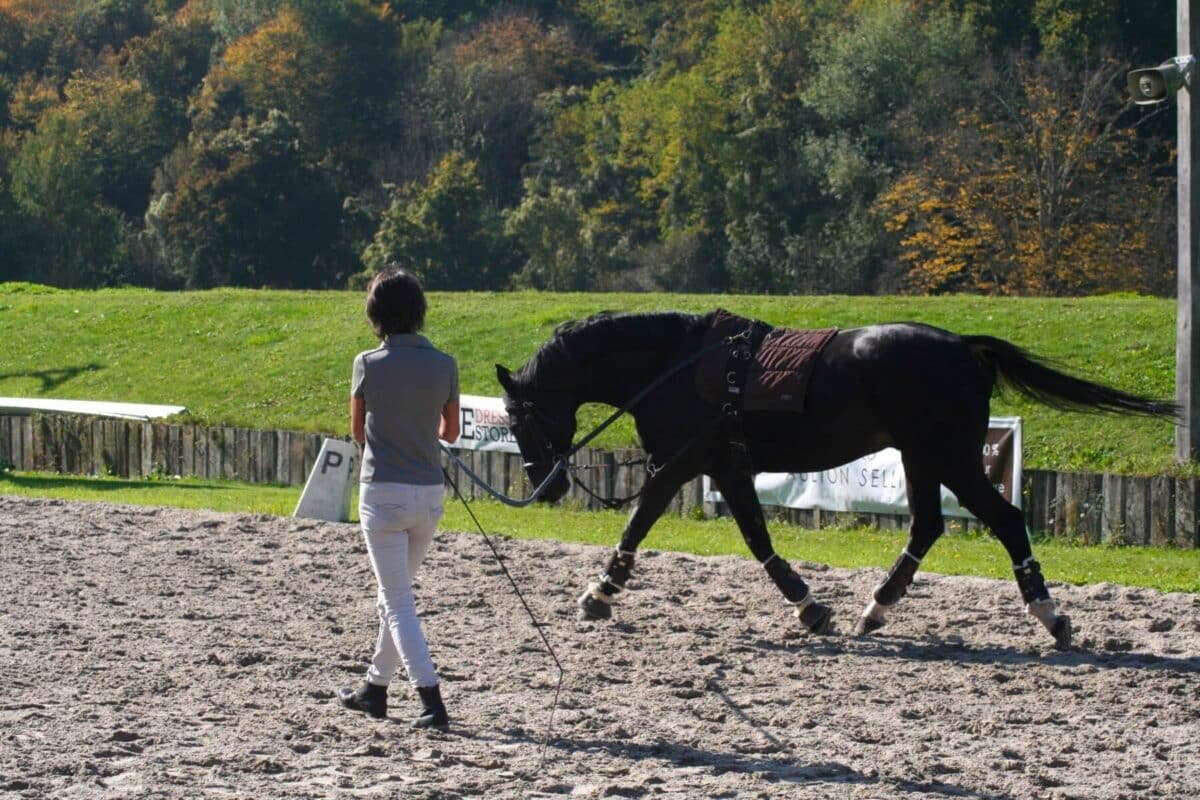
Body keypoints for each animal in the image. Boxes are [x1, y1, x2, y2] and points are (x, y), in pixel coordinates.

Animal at [492, 309, 1176, 647]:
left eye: (519, 417)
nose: (545, 484)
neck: (673, 363)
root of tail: (963, 346)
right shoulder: (726, 467)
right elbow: (759, 539)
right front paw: (811, 607)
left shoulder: (680, 465)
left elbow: (639, 525)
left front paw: (598, 594)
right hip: (923, 458)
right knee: (927, 526)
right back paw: (876, 609)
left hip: (949, 457)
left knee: (1004, 520)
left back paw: (1050, 616)